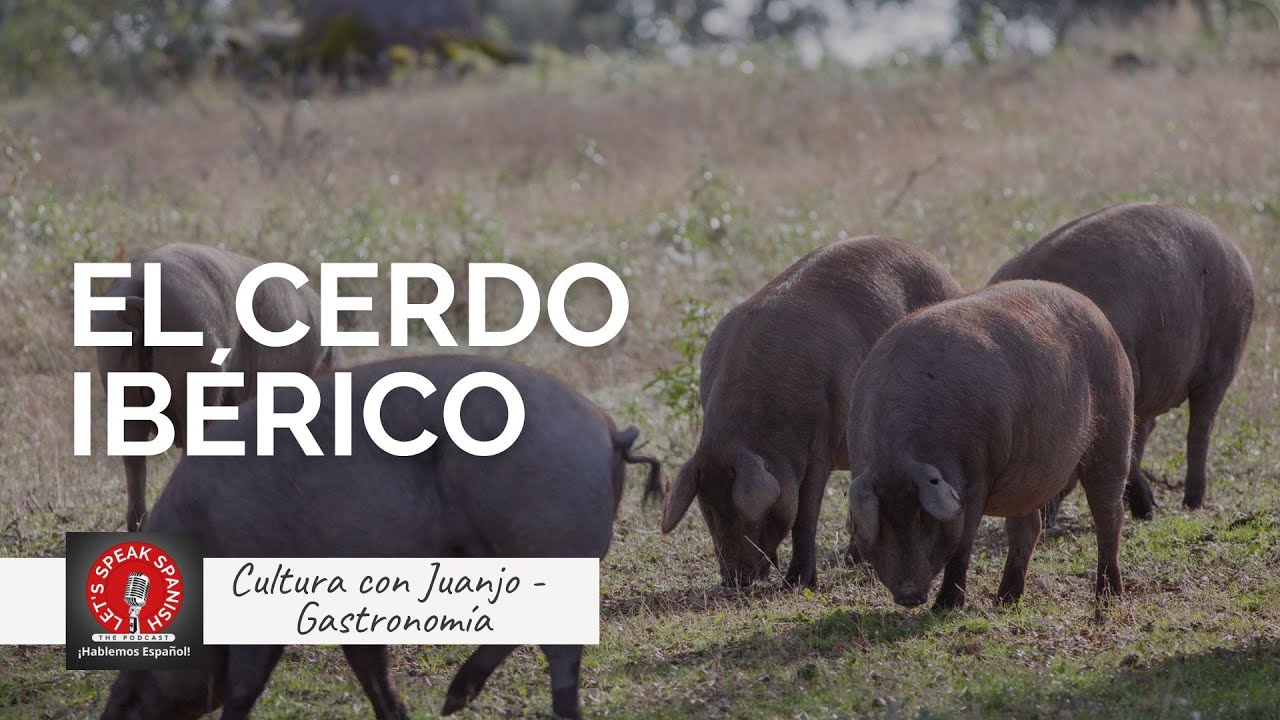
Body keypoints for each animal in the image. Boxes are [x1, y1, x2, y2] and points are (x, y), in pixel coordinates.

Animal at [98, 354, 662, 720]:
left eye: (130, 692)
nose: (112, 706)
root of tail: (608, 431)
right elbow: (371, 669)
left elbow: (244, 688)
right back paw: (452, 702)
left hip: (546, 542)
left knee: (559, 650)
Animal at [659, 237, 963, 589]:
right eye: (707, 509)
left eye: (744, 513)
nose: (733, 580)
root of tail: (940, 268)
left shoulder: (821, 441)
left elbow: (805, 514)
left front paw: (797, 583)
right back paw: (853, 559)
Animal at [846, 280, 1134, 609]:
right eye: (883, 521)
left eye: (923, 517)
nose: (909, 596)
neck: (896, 456)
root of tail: (1095, 310)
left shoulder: (978, 473)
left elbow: (963, 543)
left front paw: (945, 606)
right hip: (1027, 477)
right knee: (1028, 527)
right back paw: (1005, 600)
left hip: (1114, 428)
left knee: (1109, 514)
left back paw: (1108, 597)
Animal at [990, 203, 1255, 520]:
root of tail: (1237, 252)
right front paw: (1145, 510)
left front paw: (1148, 511)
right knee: (1149, 427)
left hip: (1222, 356)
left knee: (1200, 428)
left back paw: (1190, 504)